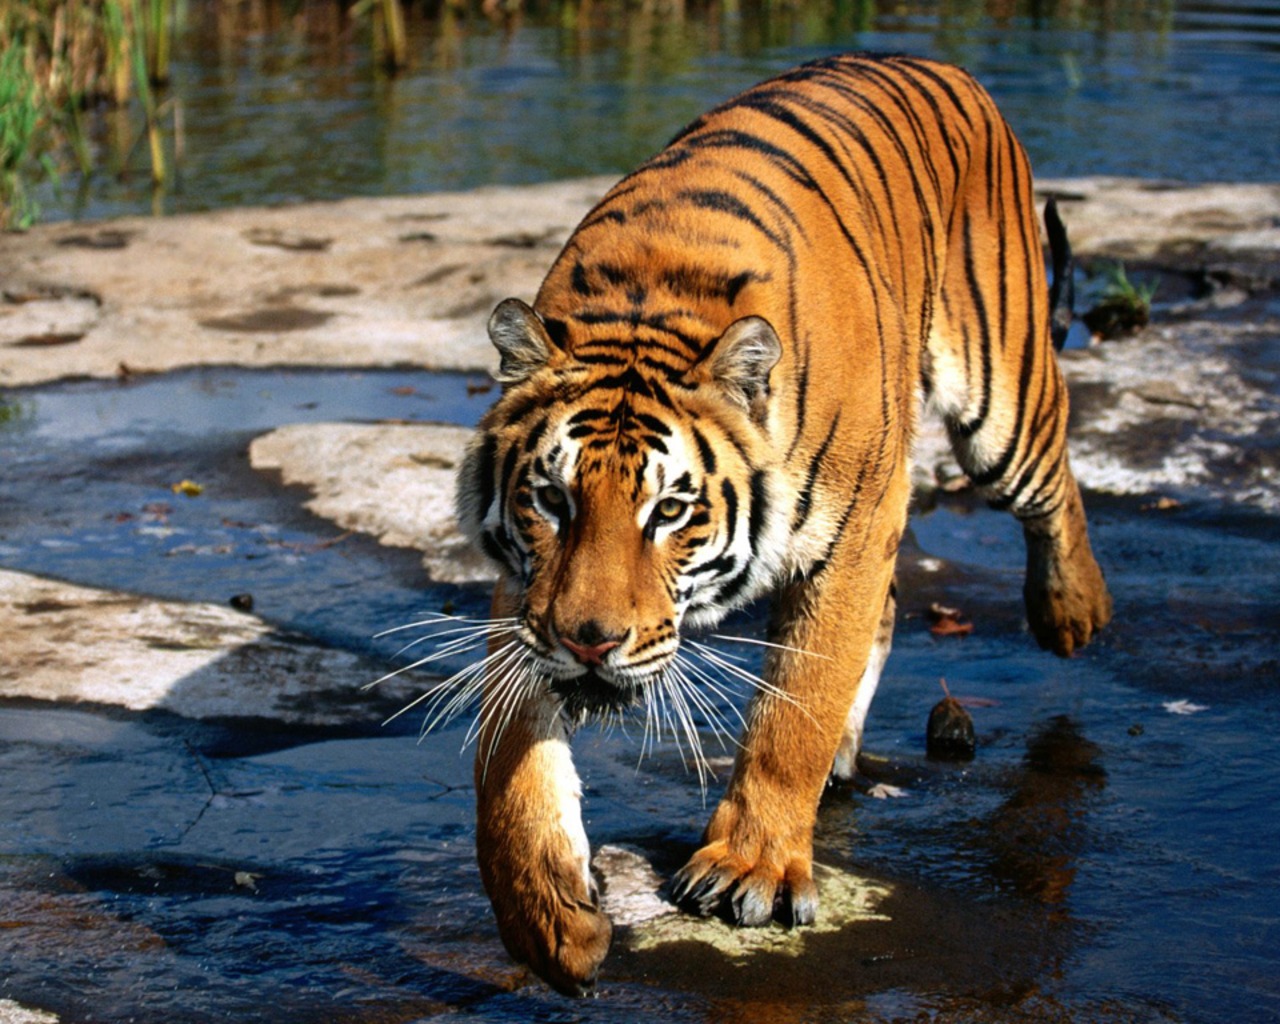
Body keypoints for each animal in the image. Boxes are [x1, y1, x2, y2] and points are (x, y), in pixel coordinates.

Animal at [453, 49, 1111, 993]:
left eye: (671, 511)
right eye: (552, 500)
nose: (590, 642)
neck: (650, 305)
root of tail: (939, 61)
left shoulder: (855, 528)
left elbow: (796, 707)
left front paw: (751, 868)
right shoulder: (529, 592)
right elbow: (506, 763)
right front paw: (547, 918)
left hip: (1000, 393)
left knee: (1053, 479)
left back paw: (1072, 610)